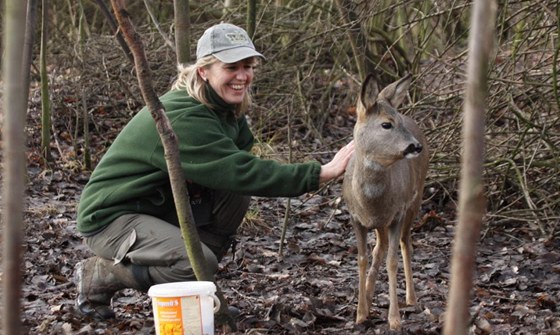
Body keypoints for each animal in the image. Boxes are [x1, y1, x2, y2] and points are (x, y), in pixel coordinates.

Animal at [342, 73, 428, 330]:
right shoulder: (355, 218)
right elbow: (362, 258)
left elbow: (392, 261)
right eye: (386, 124)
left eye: (397, 120)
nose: (415, 146)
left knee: (404, 243)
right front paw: (360, 313)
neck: (369, 201)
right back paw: (369, 295)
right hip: (381, 223)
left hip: (415, 200)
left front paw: (394, 319)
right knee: (379, 247)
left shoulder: (397, 213)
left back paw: (411, 297)